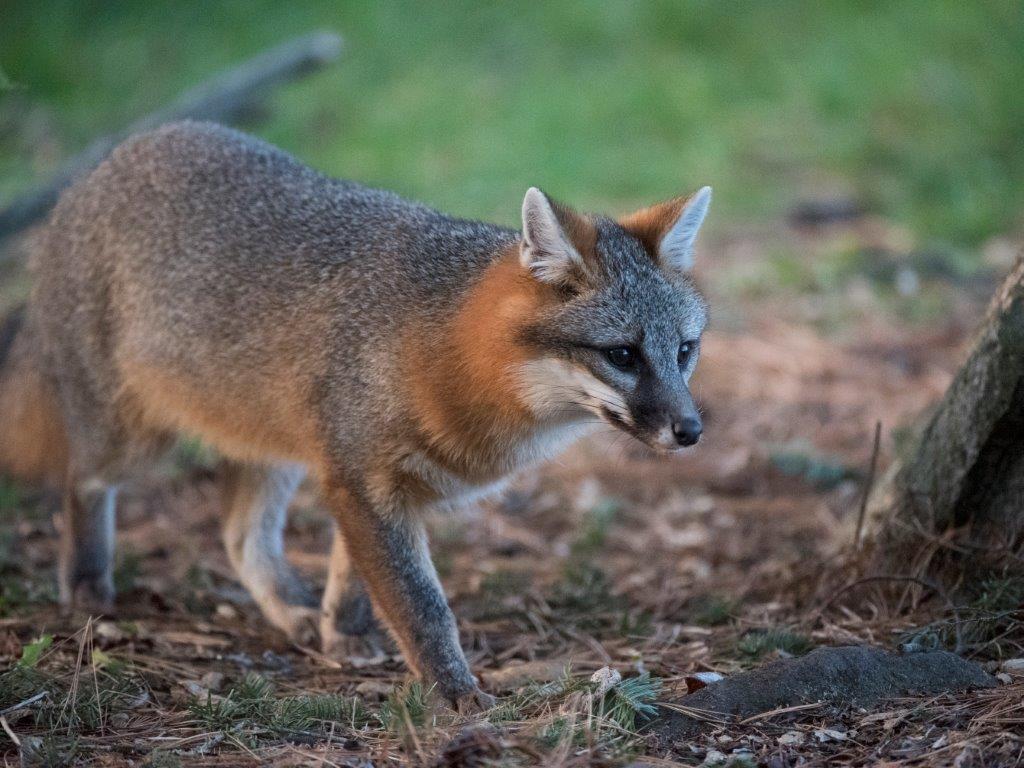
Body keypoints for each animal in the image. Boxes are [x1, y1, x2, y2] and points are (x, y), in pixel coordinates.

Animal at [0, 121, 710, 711]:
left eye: (684, 350)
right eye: (622, 354)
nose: (692, 431)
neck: (446, 346)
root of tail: (102, 165)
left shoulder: (362, 482)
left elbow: (356, 575)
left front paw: (345, 632)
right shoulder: (363, 481)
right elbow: (422, 606)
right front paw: (453, 692)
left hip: (275, 448)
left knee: (239, 535)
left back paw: (290, 611)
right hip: (133, 438)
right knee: (83, 480)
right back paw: (86, 583)